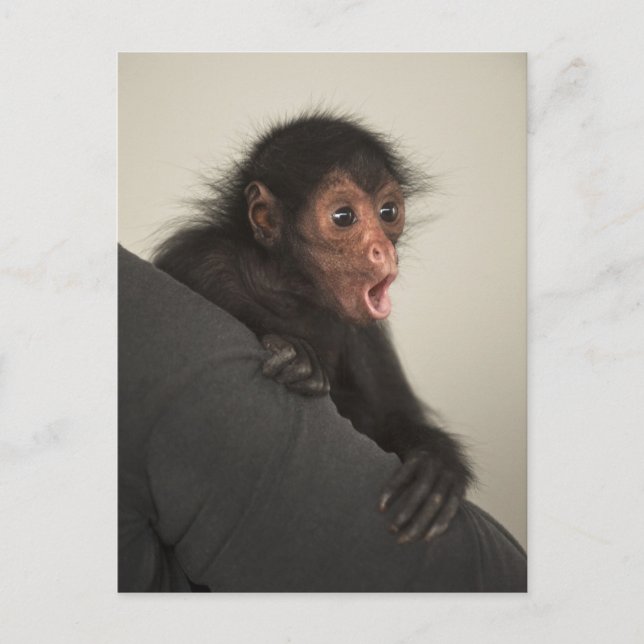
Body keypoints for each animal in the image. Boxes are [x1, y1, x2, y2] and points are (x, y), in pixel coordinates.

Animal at [153, 110, 474, 544]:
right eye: (343, 217)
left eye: (388, 213)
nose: (383, 250)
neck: (288, 292)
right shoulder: (202, 260)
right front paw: (296, 354)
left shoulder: (365, 334)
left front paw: (435, 463)